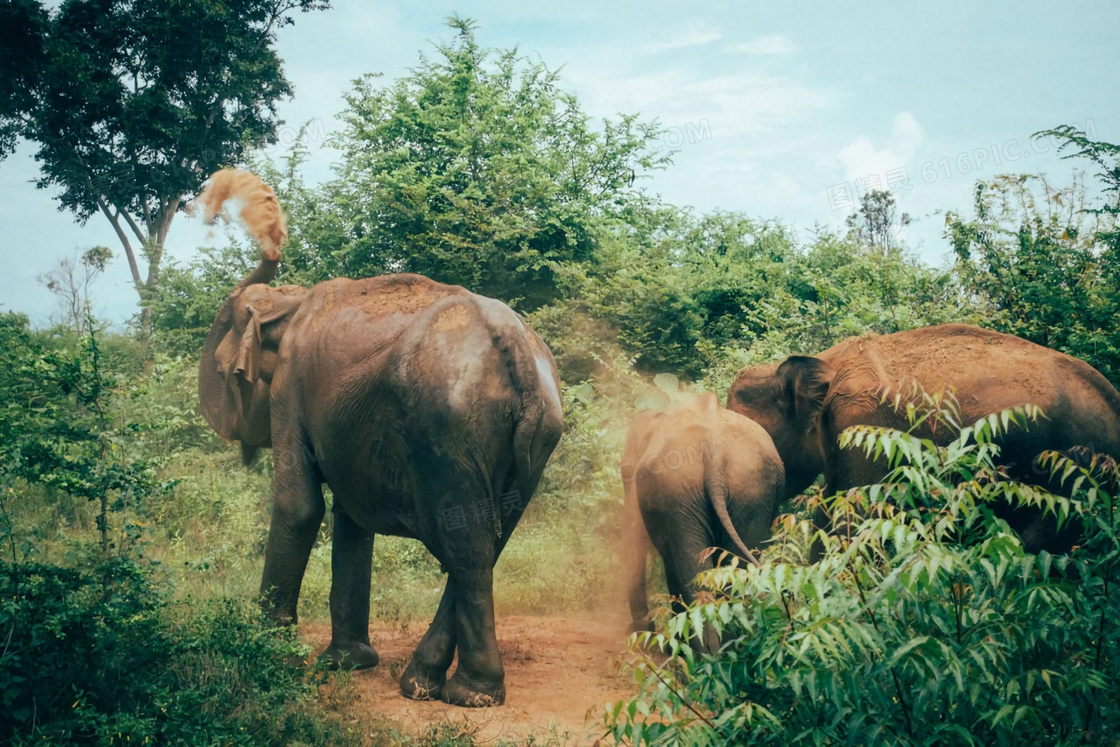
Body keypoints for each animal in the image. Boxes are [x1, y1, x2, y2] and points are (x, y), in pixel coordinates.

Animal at [197, 172, 564, 712]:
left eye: (223, 371)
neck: (290, 302)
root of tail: (514, 345)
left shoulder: (290, 387)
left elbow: (300, 506)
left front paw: (263, 650)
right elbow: (351, 518)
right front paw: (347, 664)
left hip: (445, 430)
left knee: (469, 550)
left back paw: (467, 695)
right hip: (536, 438)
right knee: (490, 540)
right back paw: (423, 684)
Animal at [622, 391, 788, 649]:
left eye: (623, 472)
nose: (640, 632)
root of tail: (715, 457)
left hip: (685, 492)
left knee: (697, 581)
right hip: (748, 493)